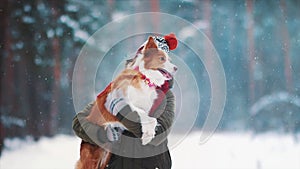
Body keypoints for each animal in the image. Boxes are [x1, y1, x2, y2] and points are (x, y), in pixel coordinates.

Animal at [76, 33, 177, 168]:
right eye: (162, 59)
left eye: (169, 60)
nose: (176, 68)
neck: (144, 77)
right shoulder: (125, 102)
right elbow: (147, 117)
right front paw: (147, 136)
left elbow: (153, 119)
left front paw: (148, 134)